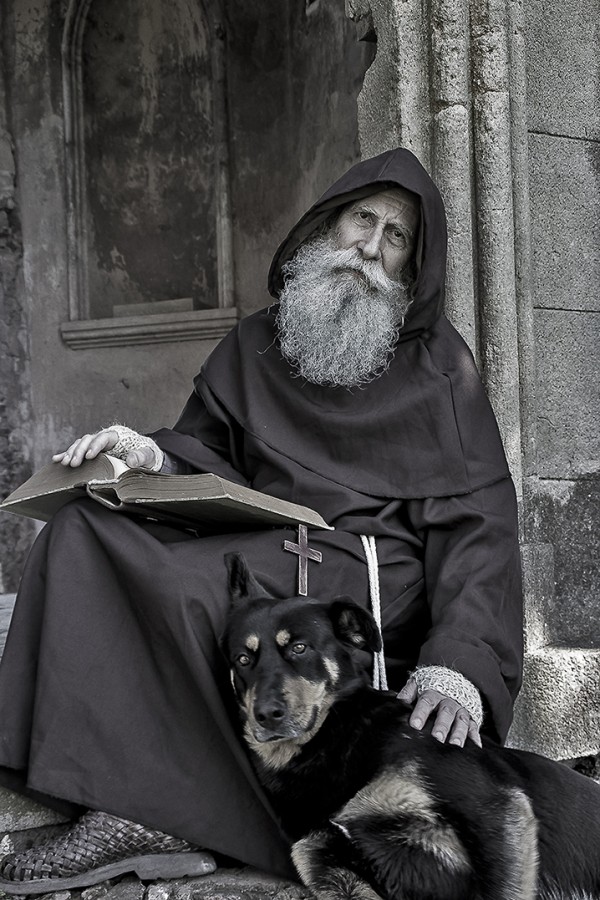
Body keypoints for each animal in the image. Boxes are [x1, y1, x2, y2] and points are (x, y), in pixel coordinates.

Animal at [223, 552, 600, 900]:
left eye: (299, 648)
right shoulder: (330, 865)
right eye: (242, 659)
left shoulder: (496, 812)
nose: (266, 715)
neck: (339, 738)